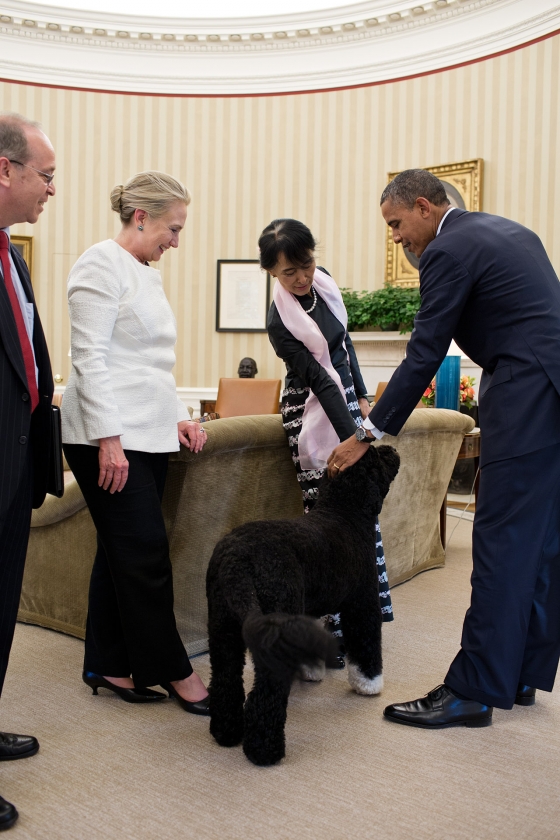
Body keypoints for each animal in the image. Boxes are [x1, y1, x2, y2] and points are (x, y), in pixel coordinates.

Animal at [205, 446, 398, 768]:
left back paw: (226, 732)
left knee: (225, 680)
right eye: (376, 458)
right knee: (265, 695)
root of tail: (237, 559)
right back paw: (264, 751)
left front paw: (311, 670)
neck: (344, 512)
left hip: (222, 626)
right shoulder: (362, 602)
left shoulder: (305, 610)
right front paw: (368, 684)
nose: (391, 448)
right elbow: (366, 643)